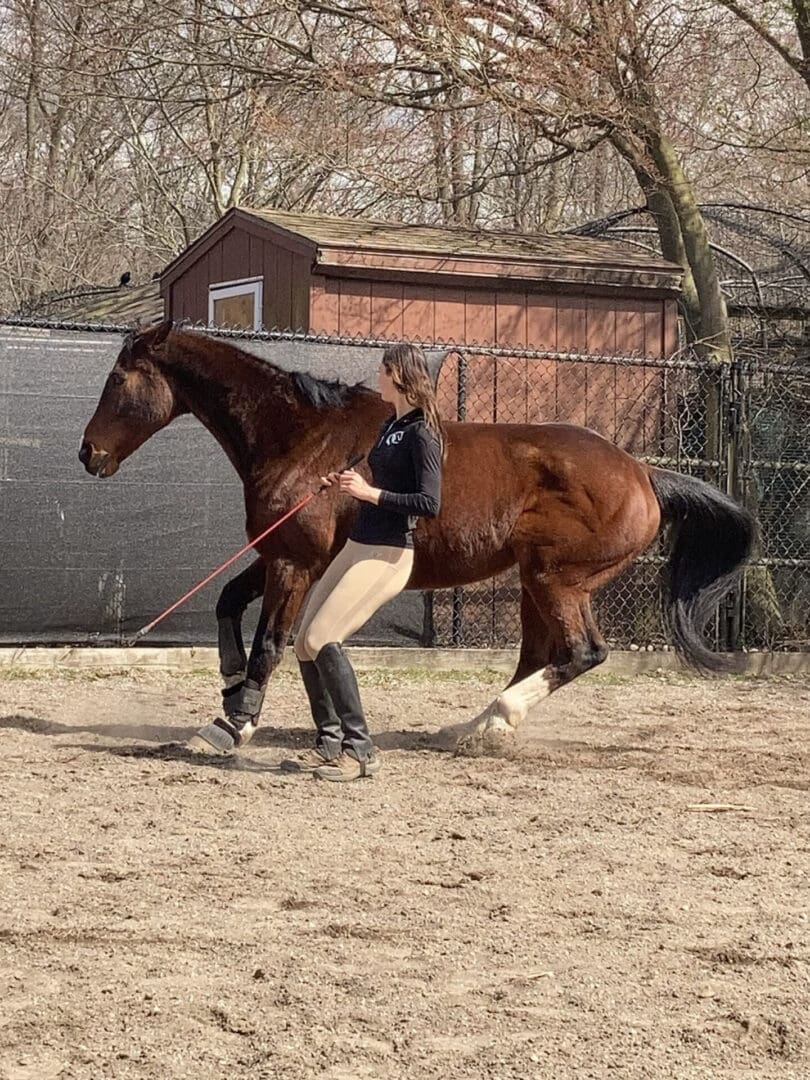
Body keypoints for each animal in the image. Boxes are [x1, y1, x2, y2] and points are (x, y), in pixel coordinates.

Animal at [79, 321, 760, 751]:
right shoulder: (282, 555)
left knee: (581, 653)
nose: (88, 454)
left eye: (117, 380)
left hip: (558, 580)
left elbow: (270, 643)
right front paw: (231, 688)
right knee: (539, 656)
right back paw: (472, 730)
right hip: (534, 584)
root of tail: (642, 473)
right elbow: (231, 607)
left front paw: (235, 723)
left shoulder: (294, 562)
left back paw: (495, 725)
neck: (302, 438)